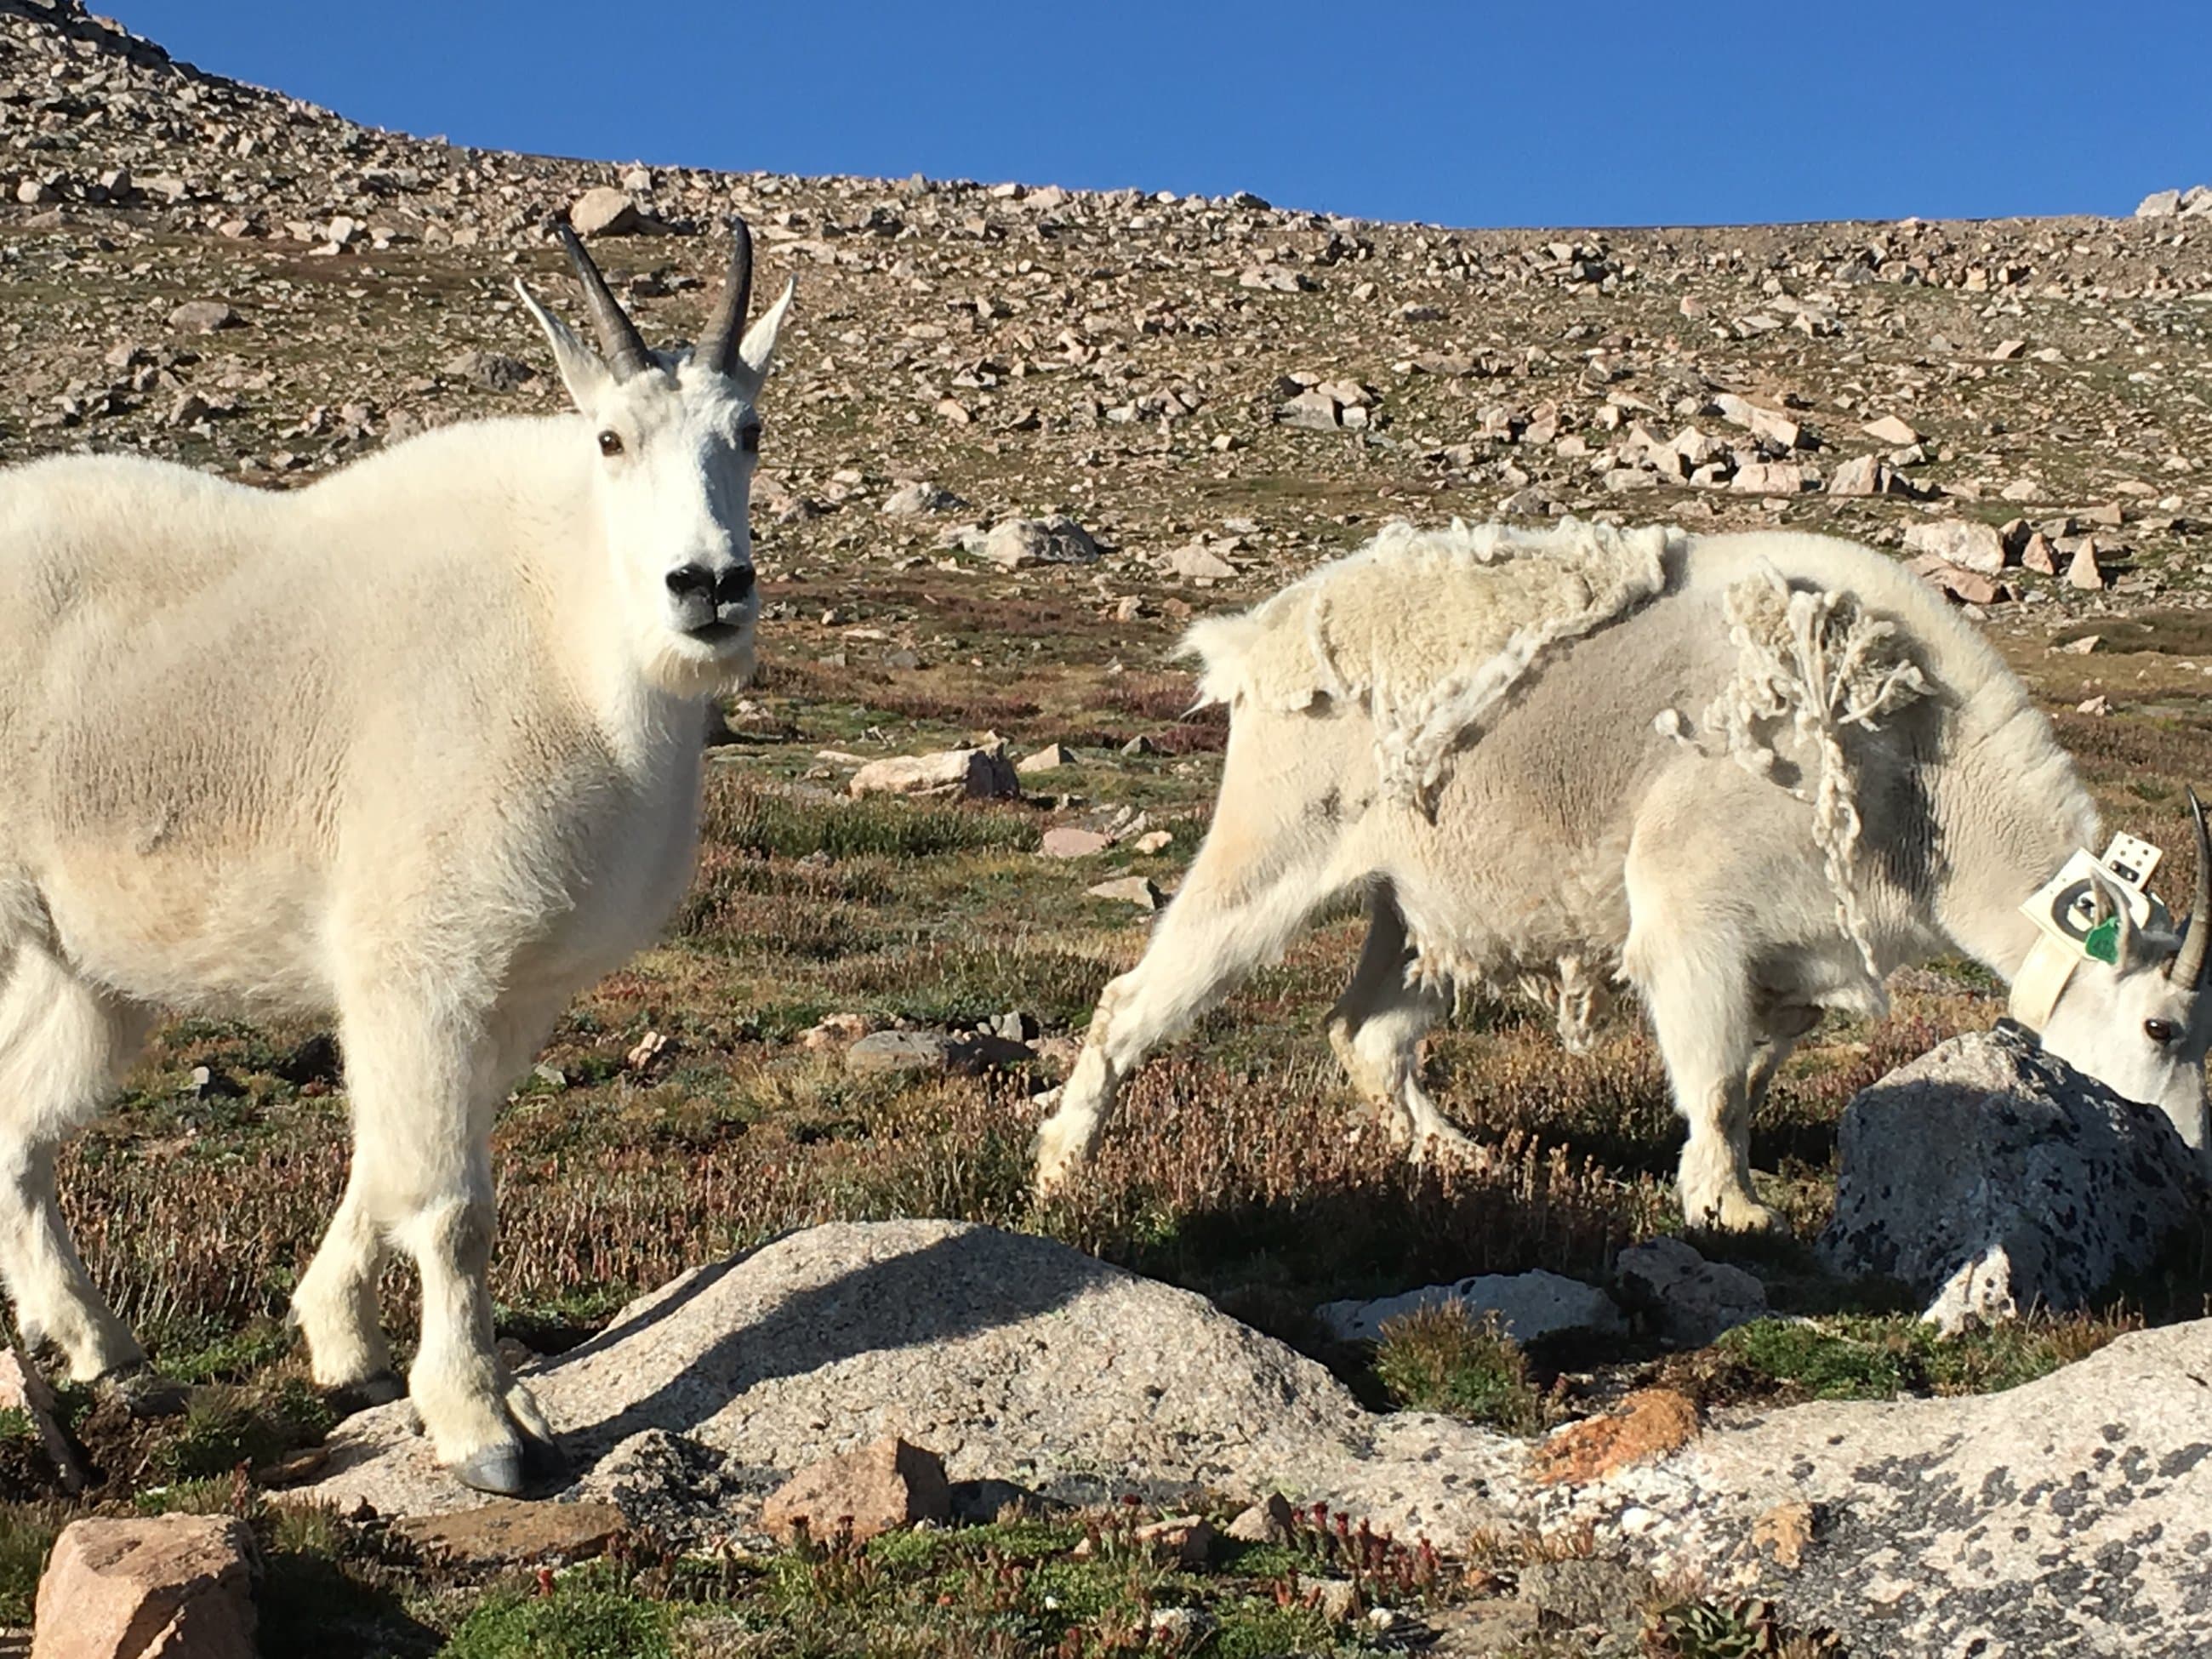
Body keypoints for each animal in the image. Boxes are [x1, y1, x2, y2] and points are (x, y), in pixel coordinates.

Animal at [0, 220, 793, 1494]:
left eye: (751, 431)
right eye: (609, 437)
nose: (708, 587)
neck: (574, 641)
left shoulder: (512, 987)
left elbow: (387, 1163)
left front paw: (345, 1352)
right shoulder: (420, 961)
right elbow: (450, 1200)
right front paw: (481, 1428)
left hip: (87, 965)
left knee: (21, 1123)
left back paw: (110, 1359)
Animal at [1032, 519, 2212, 1232]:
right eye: (2160, 1026)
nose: (2189, 1158)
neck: (1919, 769)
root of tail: (1256, 638)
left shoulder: (1795, 960)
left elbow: (1746, 1076)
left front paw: (1718, 1181)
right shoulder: (1693, 913)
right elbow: (1711, 1070)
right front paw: (1733, 1210)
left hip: (1416, 903)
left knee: (1365, 1034)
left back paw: (1468, 1164)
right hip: (1273, 843)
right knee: (1137, 998)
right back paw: (1059, 1168)